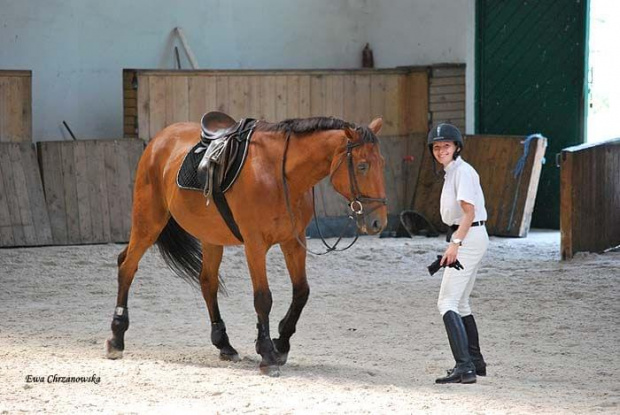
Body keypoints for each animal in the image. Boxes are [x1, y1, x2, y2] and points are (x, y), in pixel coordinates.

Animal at [106, 114, 388, 376]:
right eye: (362, 166)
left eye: (381, 164)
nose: (378, 222)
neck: (280, 174)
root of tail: (158, 141)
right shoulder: (255, 244)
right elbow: (263, 298)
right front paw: (267, 354)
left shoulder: (293, 242)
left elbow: (301, 292)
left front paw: (280, 343)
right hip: (149, 222)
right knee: (127, 266)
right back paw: (116, 338)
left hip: (210, 237)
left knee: (207, 282)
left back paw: (224, 345)